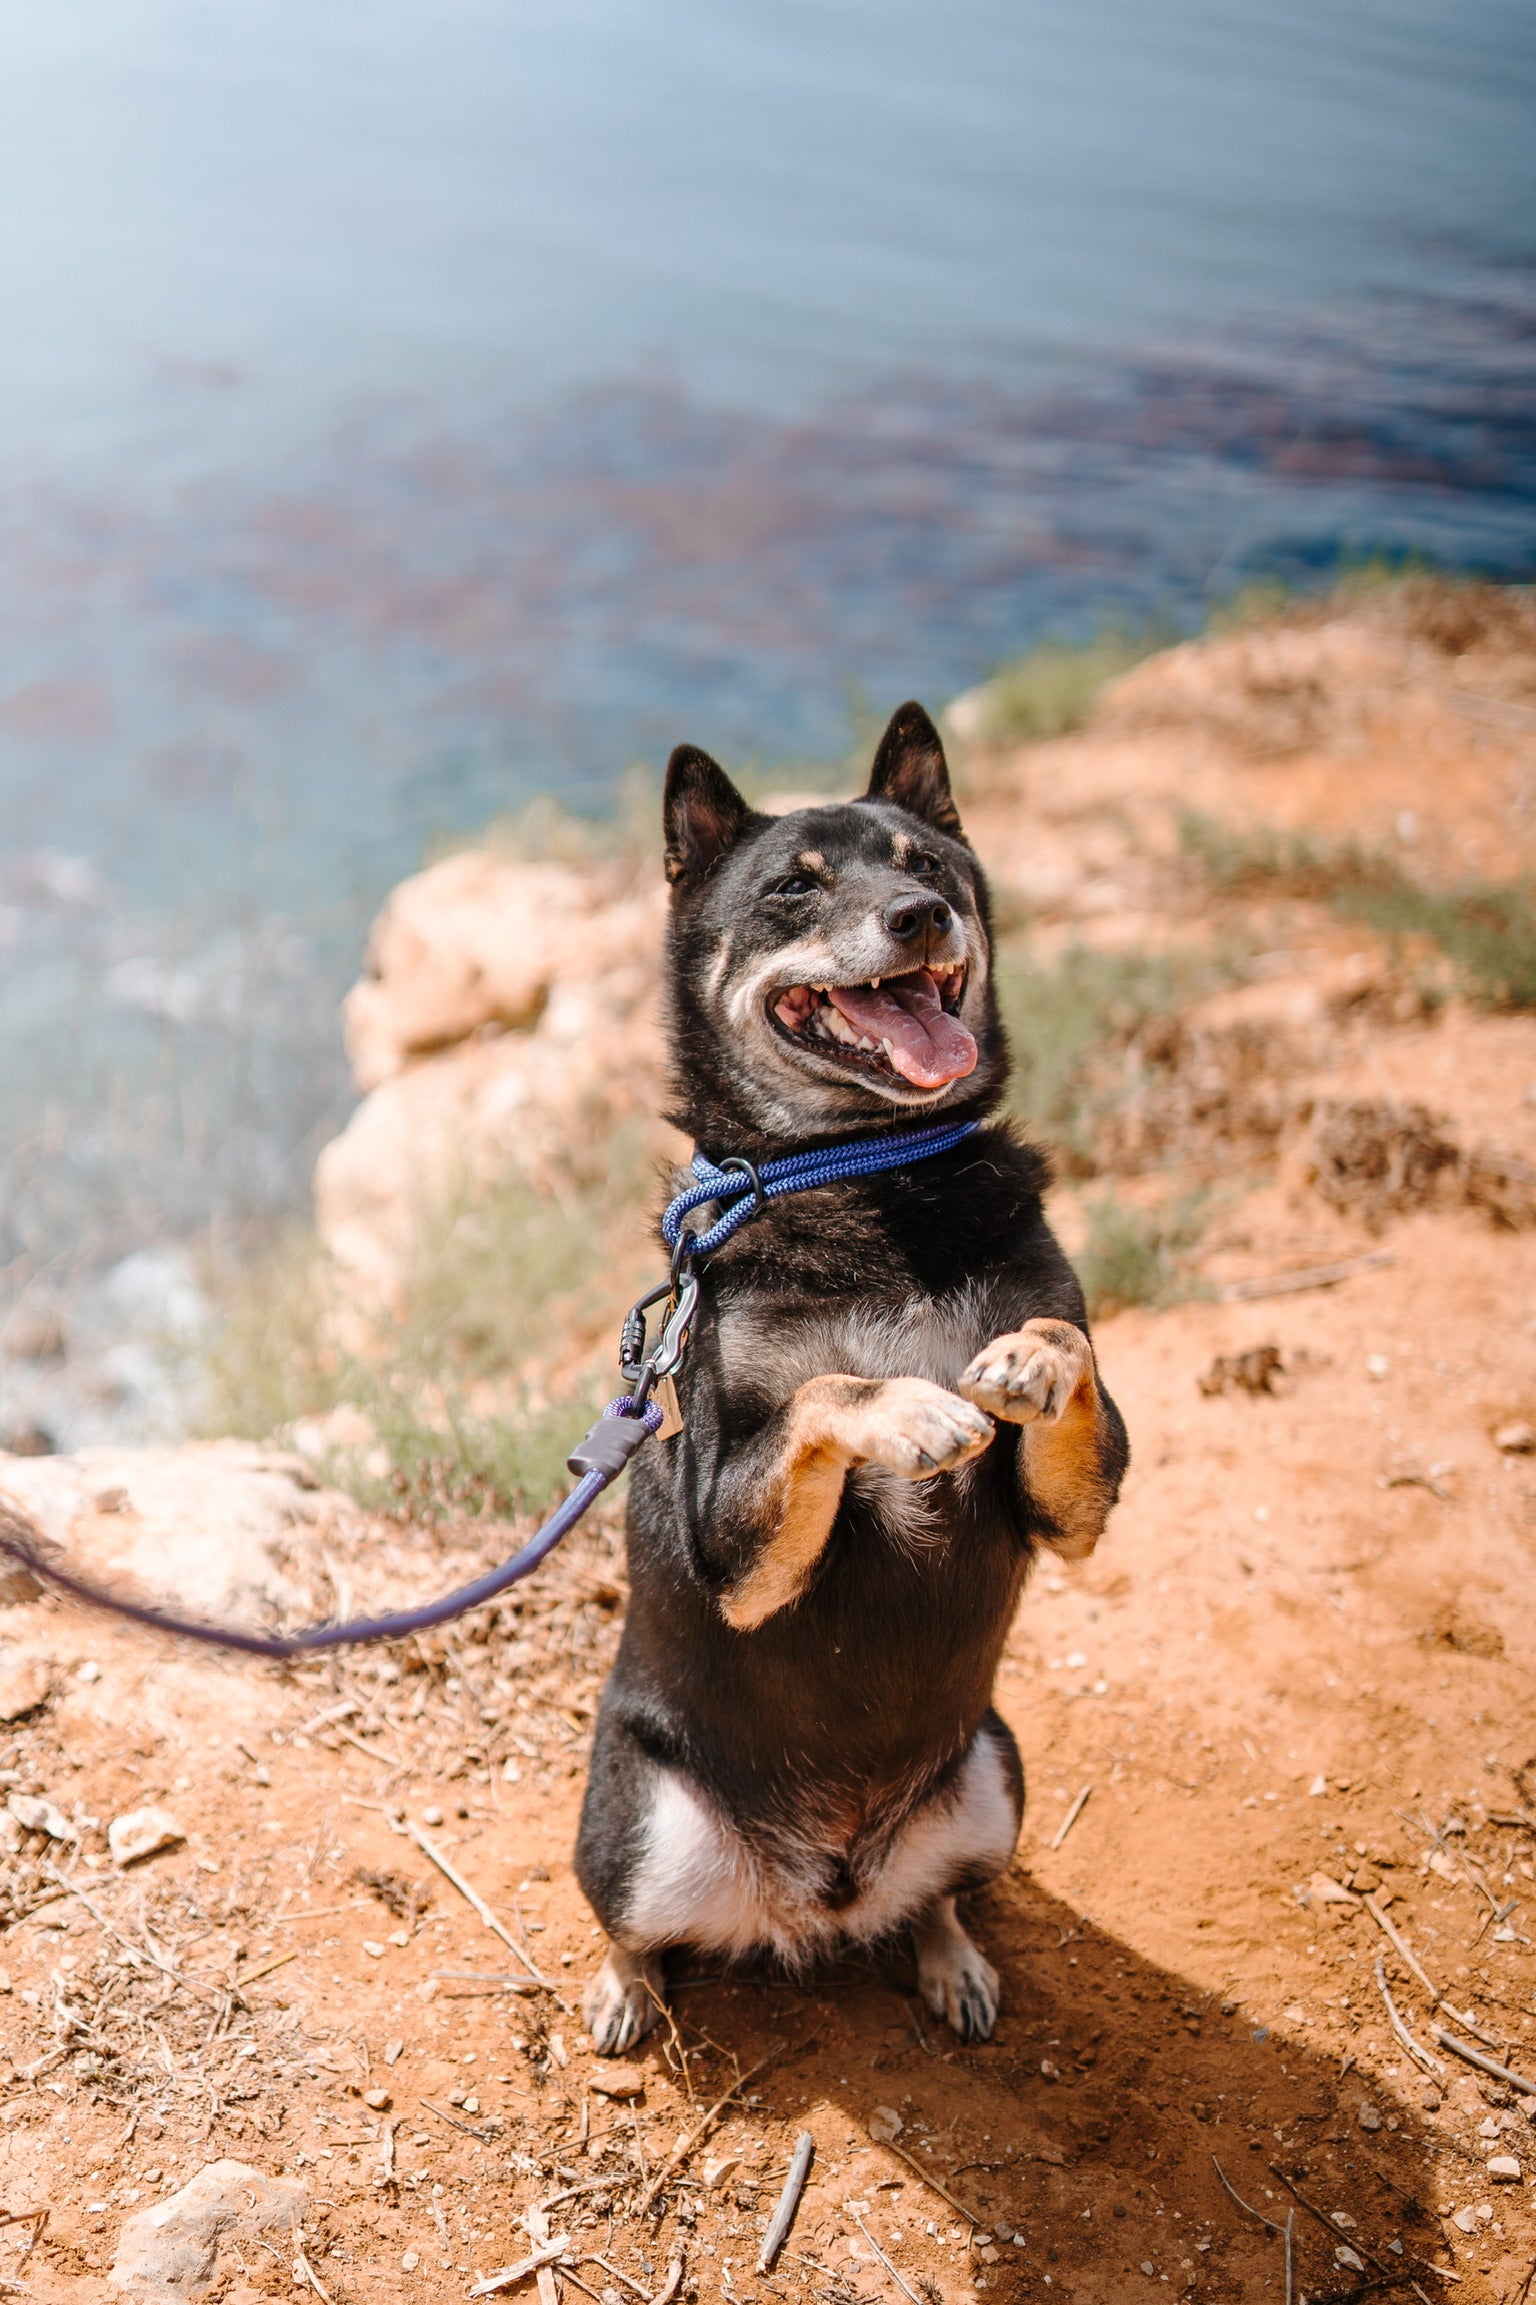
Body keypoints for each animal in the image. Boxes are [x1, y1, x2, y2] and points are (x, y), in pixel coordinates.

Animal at [574, 700, 1125, 2056]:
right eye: (792, 887)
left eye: (927, 865)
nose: (919, 917)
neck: (872, 1170)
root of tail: (812, 1899)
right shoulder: (733, 1537)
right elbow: (827, 1396)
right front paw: (915, 1408)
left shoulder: (1076, 1506)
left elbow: (1069, 1344)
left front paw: (1023, 1360)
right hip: (635, 1821)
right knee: (634, 1925)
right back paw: (626, 1988)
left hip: (996, 1772)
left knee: (934, 1897)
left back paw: (949, 1957)